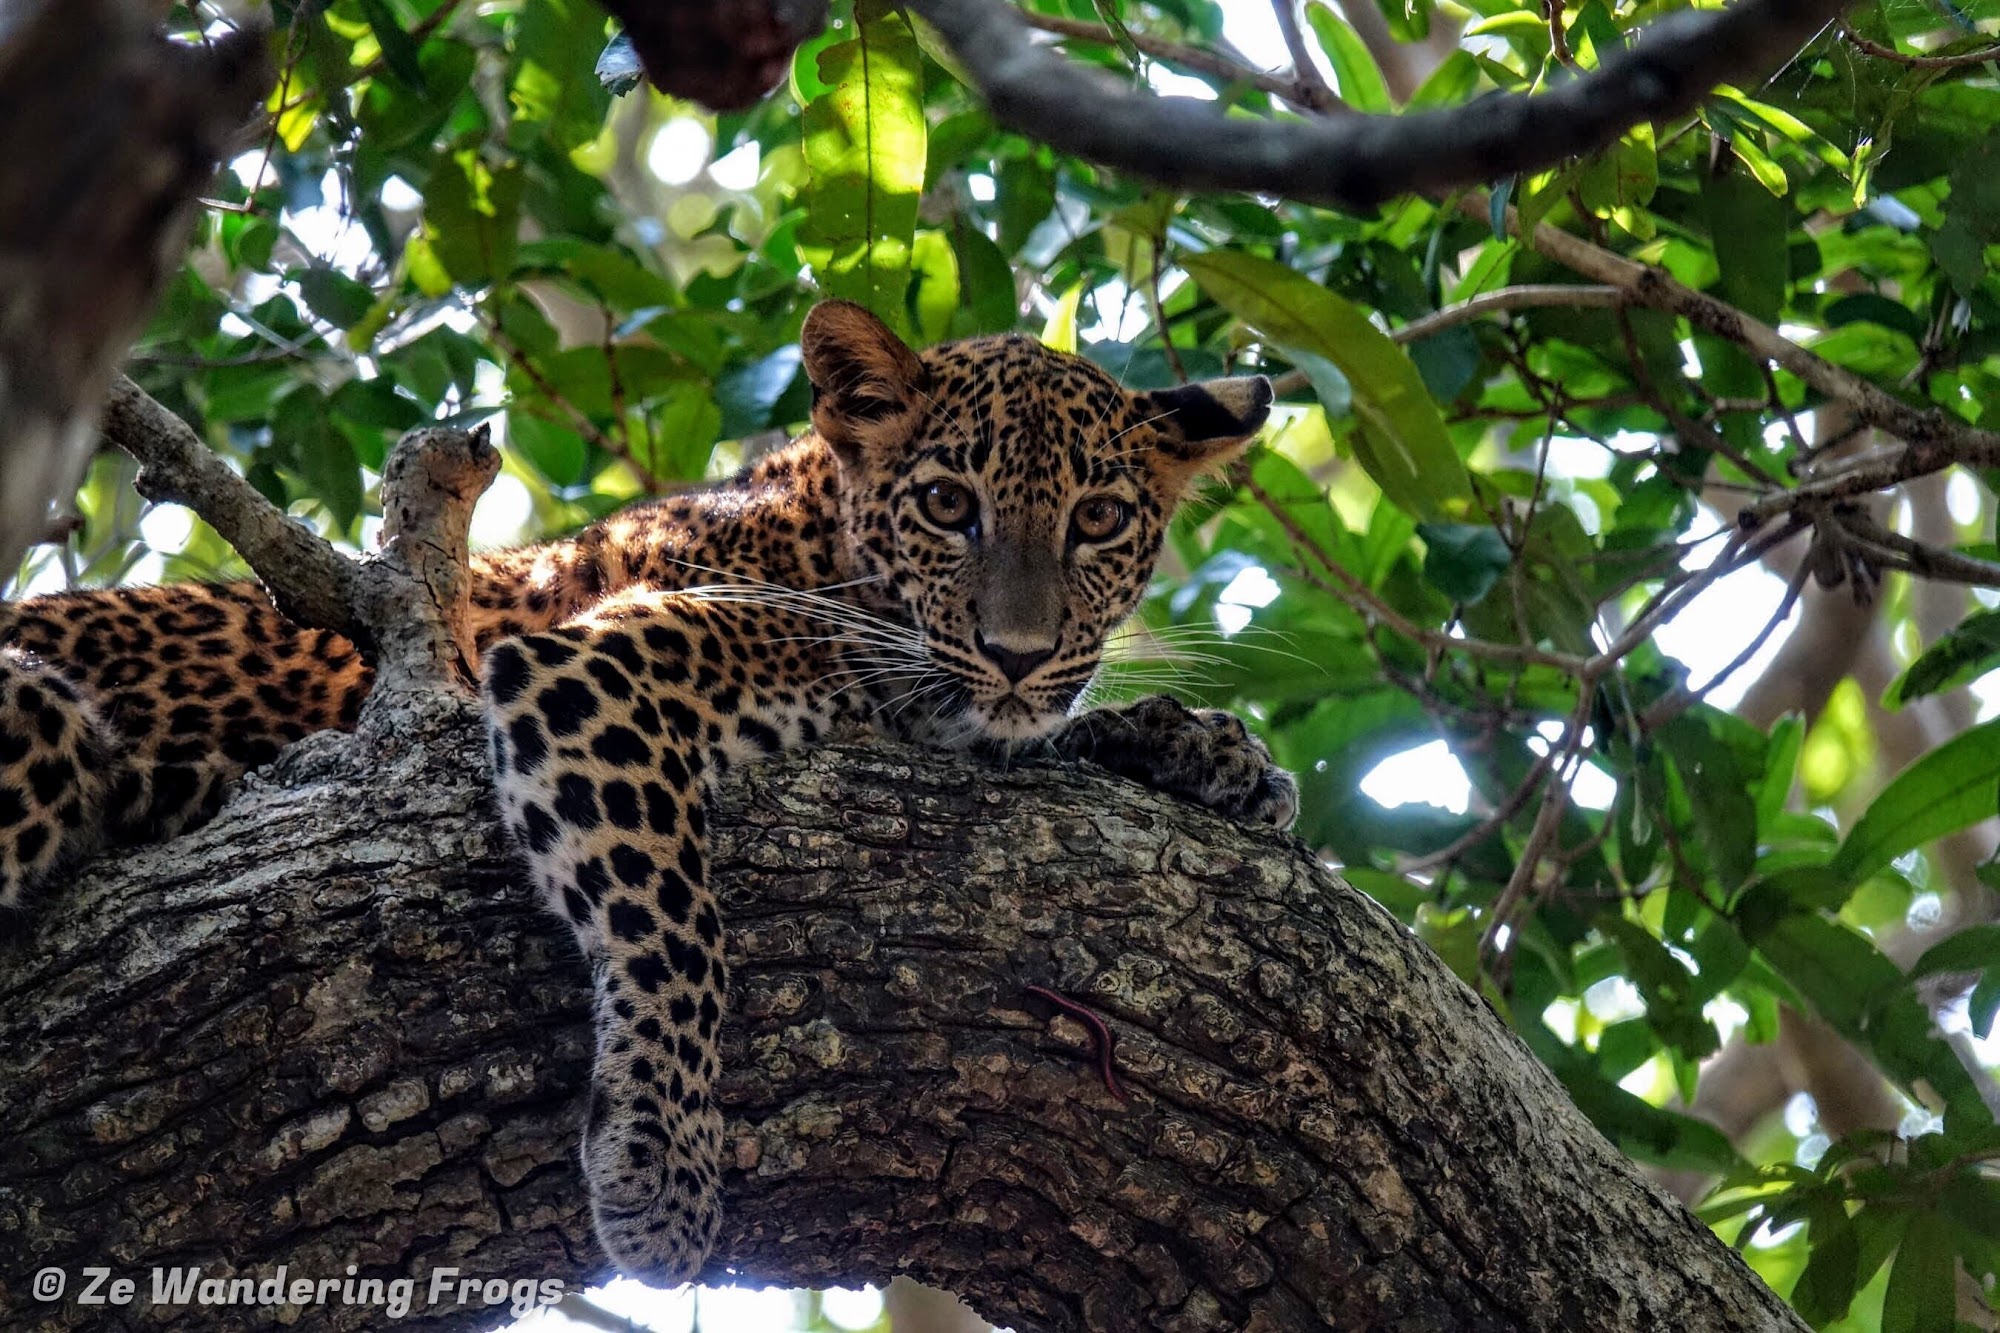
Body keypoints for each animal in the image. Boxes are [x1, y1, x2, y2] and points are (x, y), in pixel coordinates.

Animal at [0, 300, 1296, 1280]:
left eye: (1099, 520)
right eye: (946, 506)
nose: (1019, 650)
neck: (821, 540)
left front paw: (1209, 752)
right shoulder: (591, 670)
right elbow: (675, 922)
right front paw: (662, 1164)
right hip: (39, 716)